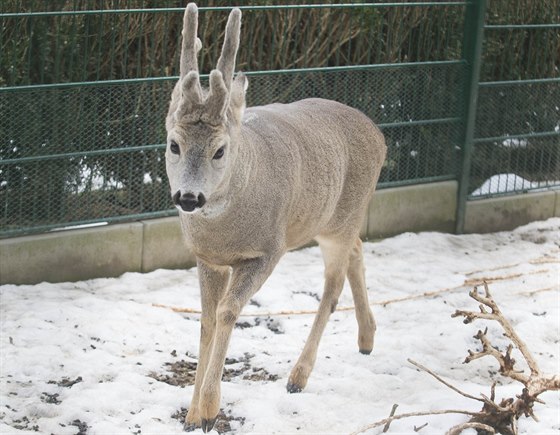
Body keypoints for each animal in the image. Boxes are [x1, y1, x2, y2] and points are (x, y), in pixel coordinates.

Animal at [164, 3, 388, 432]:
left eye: (220, 150)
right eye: (173, 144)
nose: (188, 197)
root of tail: (379, 134)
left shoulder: (268, 250)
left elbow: (227, 312)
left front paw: (210, 409)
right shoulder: (207, 258)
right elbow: (205, 320)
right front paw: (191, 415)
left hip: (343, 215)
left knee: (332, 286)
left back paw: (298, 376)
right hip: (334, 219)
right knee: (357, 247)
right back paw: (367, 339)